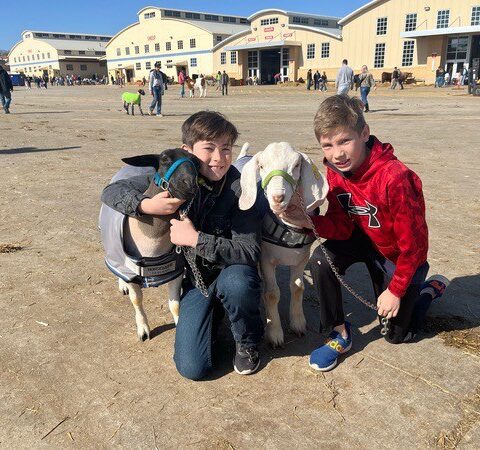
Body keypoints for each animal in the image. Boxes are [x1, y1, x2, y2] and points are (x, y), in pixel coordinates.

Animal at [237, 144, 328, 348]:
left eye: (296, 165)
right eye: (262, 166)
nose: (278, 197)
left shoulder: (302, 258)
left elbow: (298, 287)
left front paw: (298, 324)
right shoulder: (266, 258)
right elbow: (272, 294)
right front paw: (275, 334)